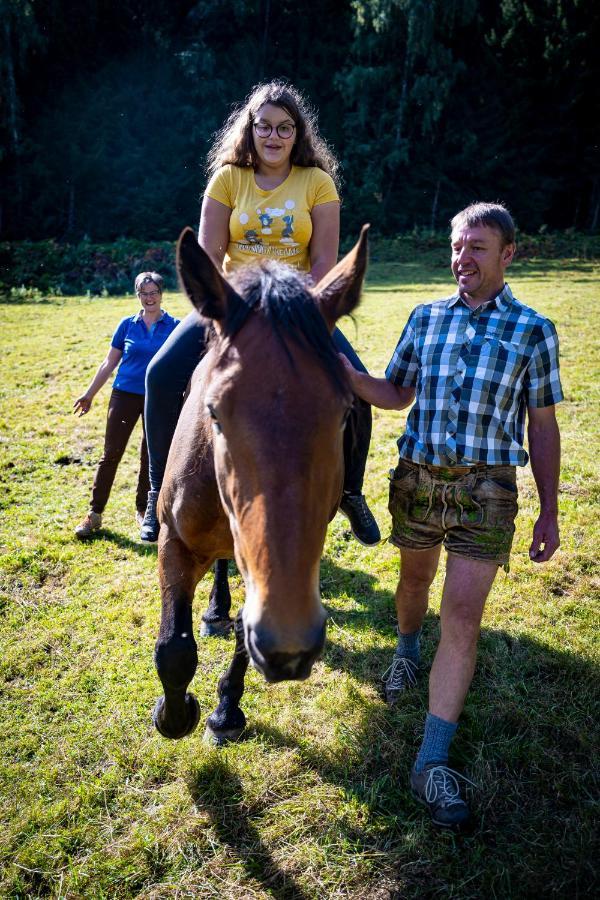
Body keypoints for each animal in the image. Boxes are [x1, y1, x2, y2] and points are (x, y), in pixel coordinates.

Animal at [152, 227, 368, 744]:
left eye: (344, 413)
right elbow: (173, 648)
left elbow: (242, 635)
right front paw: (175, 715)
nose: (290, 647)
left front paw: (225, 711)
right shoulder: (173, 541)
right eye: (214, 413)